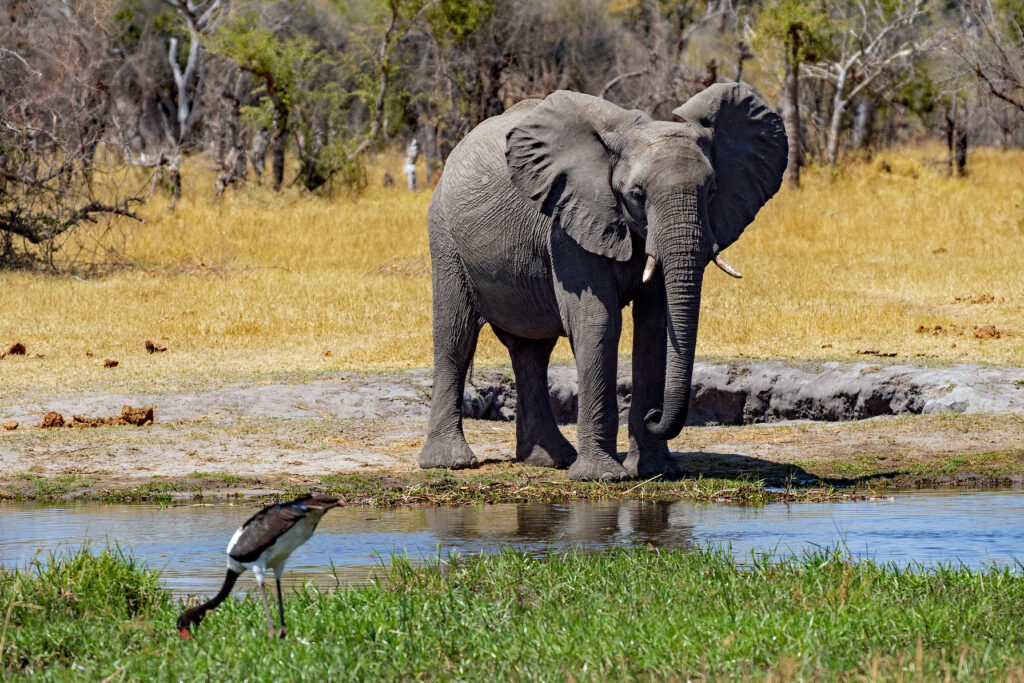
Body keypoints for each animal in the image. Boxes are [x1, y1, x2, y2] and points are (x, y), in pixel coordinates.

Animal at [415, 81, 782, 481]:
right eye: (637, 194)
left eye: (713, 190)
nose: (656, 415)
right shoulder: (567, 223)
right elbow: (598, 321)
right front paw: (602, 477)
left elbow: (654, 327)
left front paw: (656, 471)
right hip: (444, 234)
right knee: (456, 335)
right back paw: (451, 462)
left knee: (531, 350)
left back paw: (550, 459)